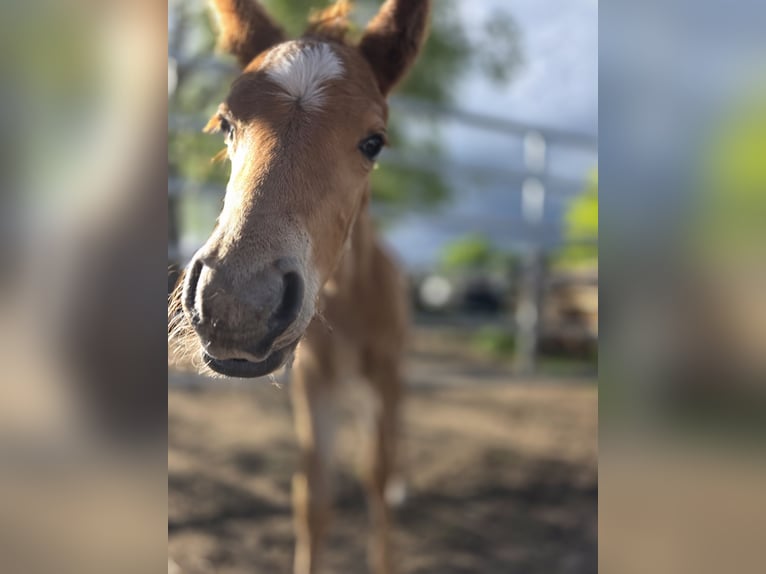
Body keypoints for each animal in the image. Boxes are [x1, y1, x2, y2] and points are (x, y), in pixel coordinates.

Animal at [168, 1, 431, 572]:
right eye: (226, 125)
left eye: (374, 141)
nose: (235, 304)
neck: (347, 302)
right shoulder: (312, 380)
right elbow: (313, 498)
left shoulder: (385, 372)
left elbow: (377, 479)